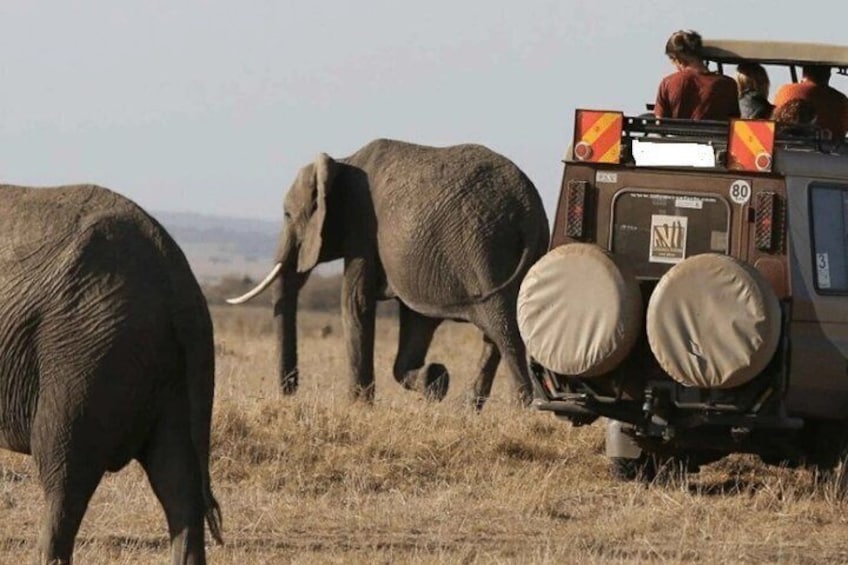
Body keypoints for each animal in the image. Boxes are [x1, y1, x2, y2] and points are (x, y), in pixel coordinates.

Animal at [228, 139, 550, 409]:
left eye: (287, 215)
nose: (290, 393)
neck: (342, 162)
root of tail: (528, 211)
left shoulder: (361, 226)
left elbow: (355, 303)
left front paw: (358, 407)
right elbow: (416, 323)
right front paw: (435, 380)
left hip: (483, 251)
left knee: (502, 327)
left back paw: (521, 408)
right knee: (495, 331)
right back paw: (470, 409)